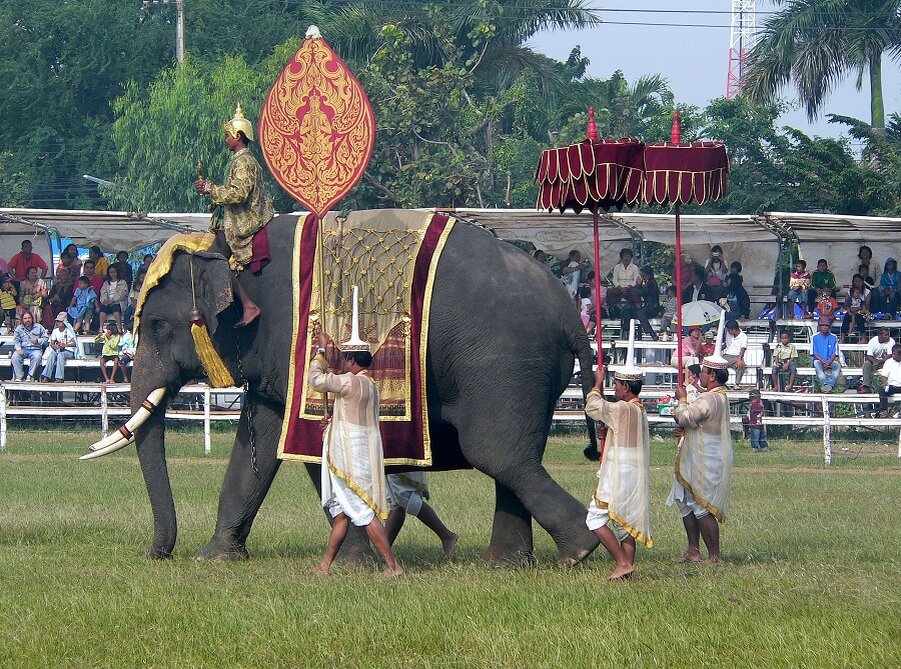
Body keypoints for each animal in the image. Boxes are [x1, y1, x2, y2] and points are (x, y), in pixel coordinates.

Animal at [88, 211, 600, 568]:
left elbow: (315, 443)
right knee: (513, 459)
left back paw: (580, 551)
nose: (157, 554)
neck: (228, 251)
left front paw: (354, 563)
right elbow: (263, 446)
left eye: (158, 325)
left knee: (498, 454)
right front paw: (215, 558)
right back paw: (506, 564)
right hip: (524, 371)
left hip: (502, 363)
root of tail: (570, 313)